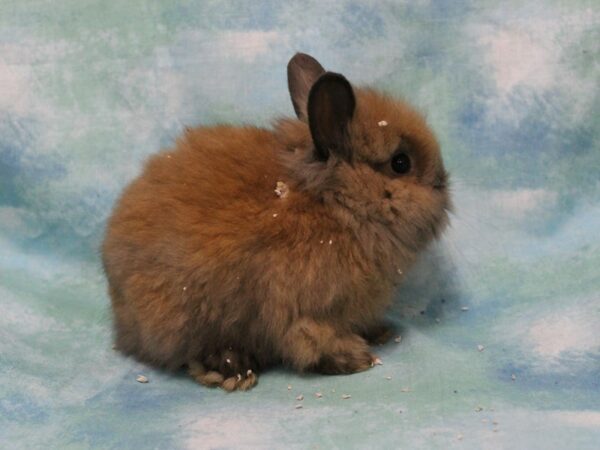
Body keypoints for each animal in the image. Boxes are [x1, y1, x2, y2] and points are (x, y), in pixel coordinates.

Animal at [102, 51, 450, 390]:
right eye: (400, 163)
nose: (442, 183)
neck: (334, 202)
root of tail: (123, 321)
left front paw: (380, 332)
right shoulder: (305, 312)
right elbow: (310, 340)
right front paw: (354, 360)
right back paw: (232, 370)